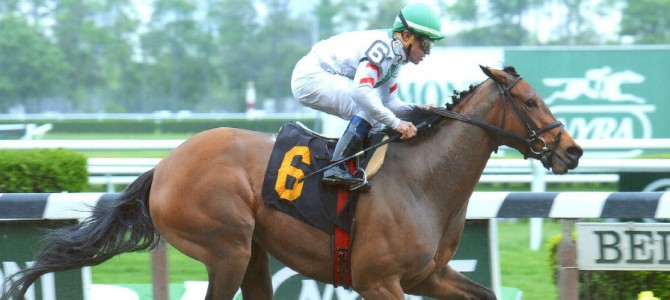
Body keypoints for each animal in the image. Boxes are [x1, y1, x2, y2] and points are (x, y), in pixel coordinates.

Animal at [2, 64, 584, 298]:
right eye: (530, 101)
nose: (573, 151)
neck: (423, 181)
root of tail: (164, 167)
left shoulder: (428, 278)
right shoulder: (379, 282)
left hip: (253, 253)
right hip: (227, 248)